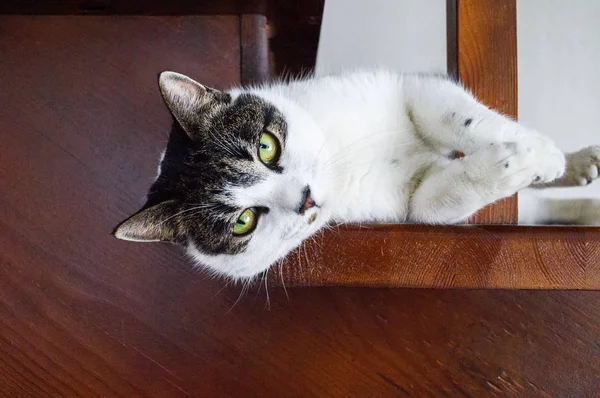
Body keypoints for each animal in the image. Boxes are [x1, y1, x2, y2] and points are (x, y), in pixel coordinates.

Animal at [112, 69, 600, 280]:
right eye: (243, 222)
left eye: (267, 147)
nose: (306, 197)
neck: (340, 161)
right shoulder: (408, 204)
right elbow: (436, 202)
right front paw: (516, 163)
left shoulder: (407, 88)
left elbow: (459, 117)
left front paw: (542, 153)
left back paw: (576, 162)